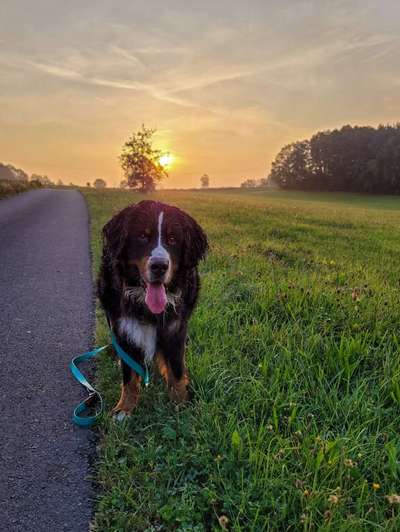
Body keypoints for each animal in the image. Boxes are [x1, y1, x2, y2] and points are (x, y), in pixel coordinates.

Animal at [97, 200, 208, 420]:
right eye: (142, 236)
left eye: (172, 239)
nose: (159, 266)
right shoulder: (124, 330)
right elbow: (129, 377)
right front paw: (124, 408)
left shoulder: (175, 330)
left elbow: (176, 370)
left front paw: (180, 403)